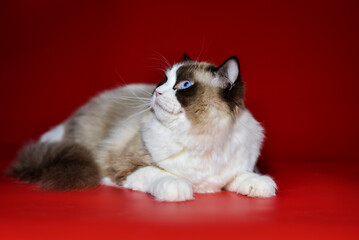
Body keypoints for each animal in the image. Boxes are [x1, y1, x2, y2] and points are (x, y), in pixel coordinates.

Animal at [9, 54, 278, 201]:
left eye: (184, 85)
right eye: (164, 81)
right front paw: (180, 189)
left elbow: (245, 176)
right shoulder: (126, 166)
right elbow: (163, 176)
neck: (203, 137)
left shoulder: (235, 167)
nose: (157, 92)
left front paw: (259, 185)